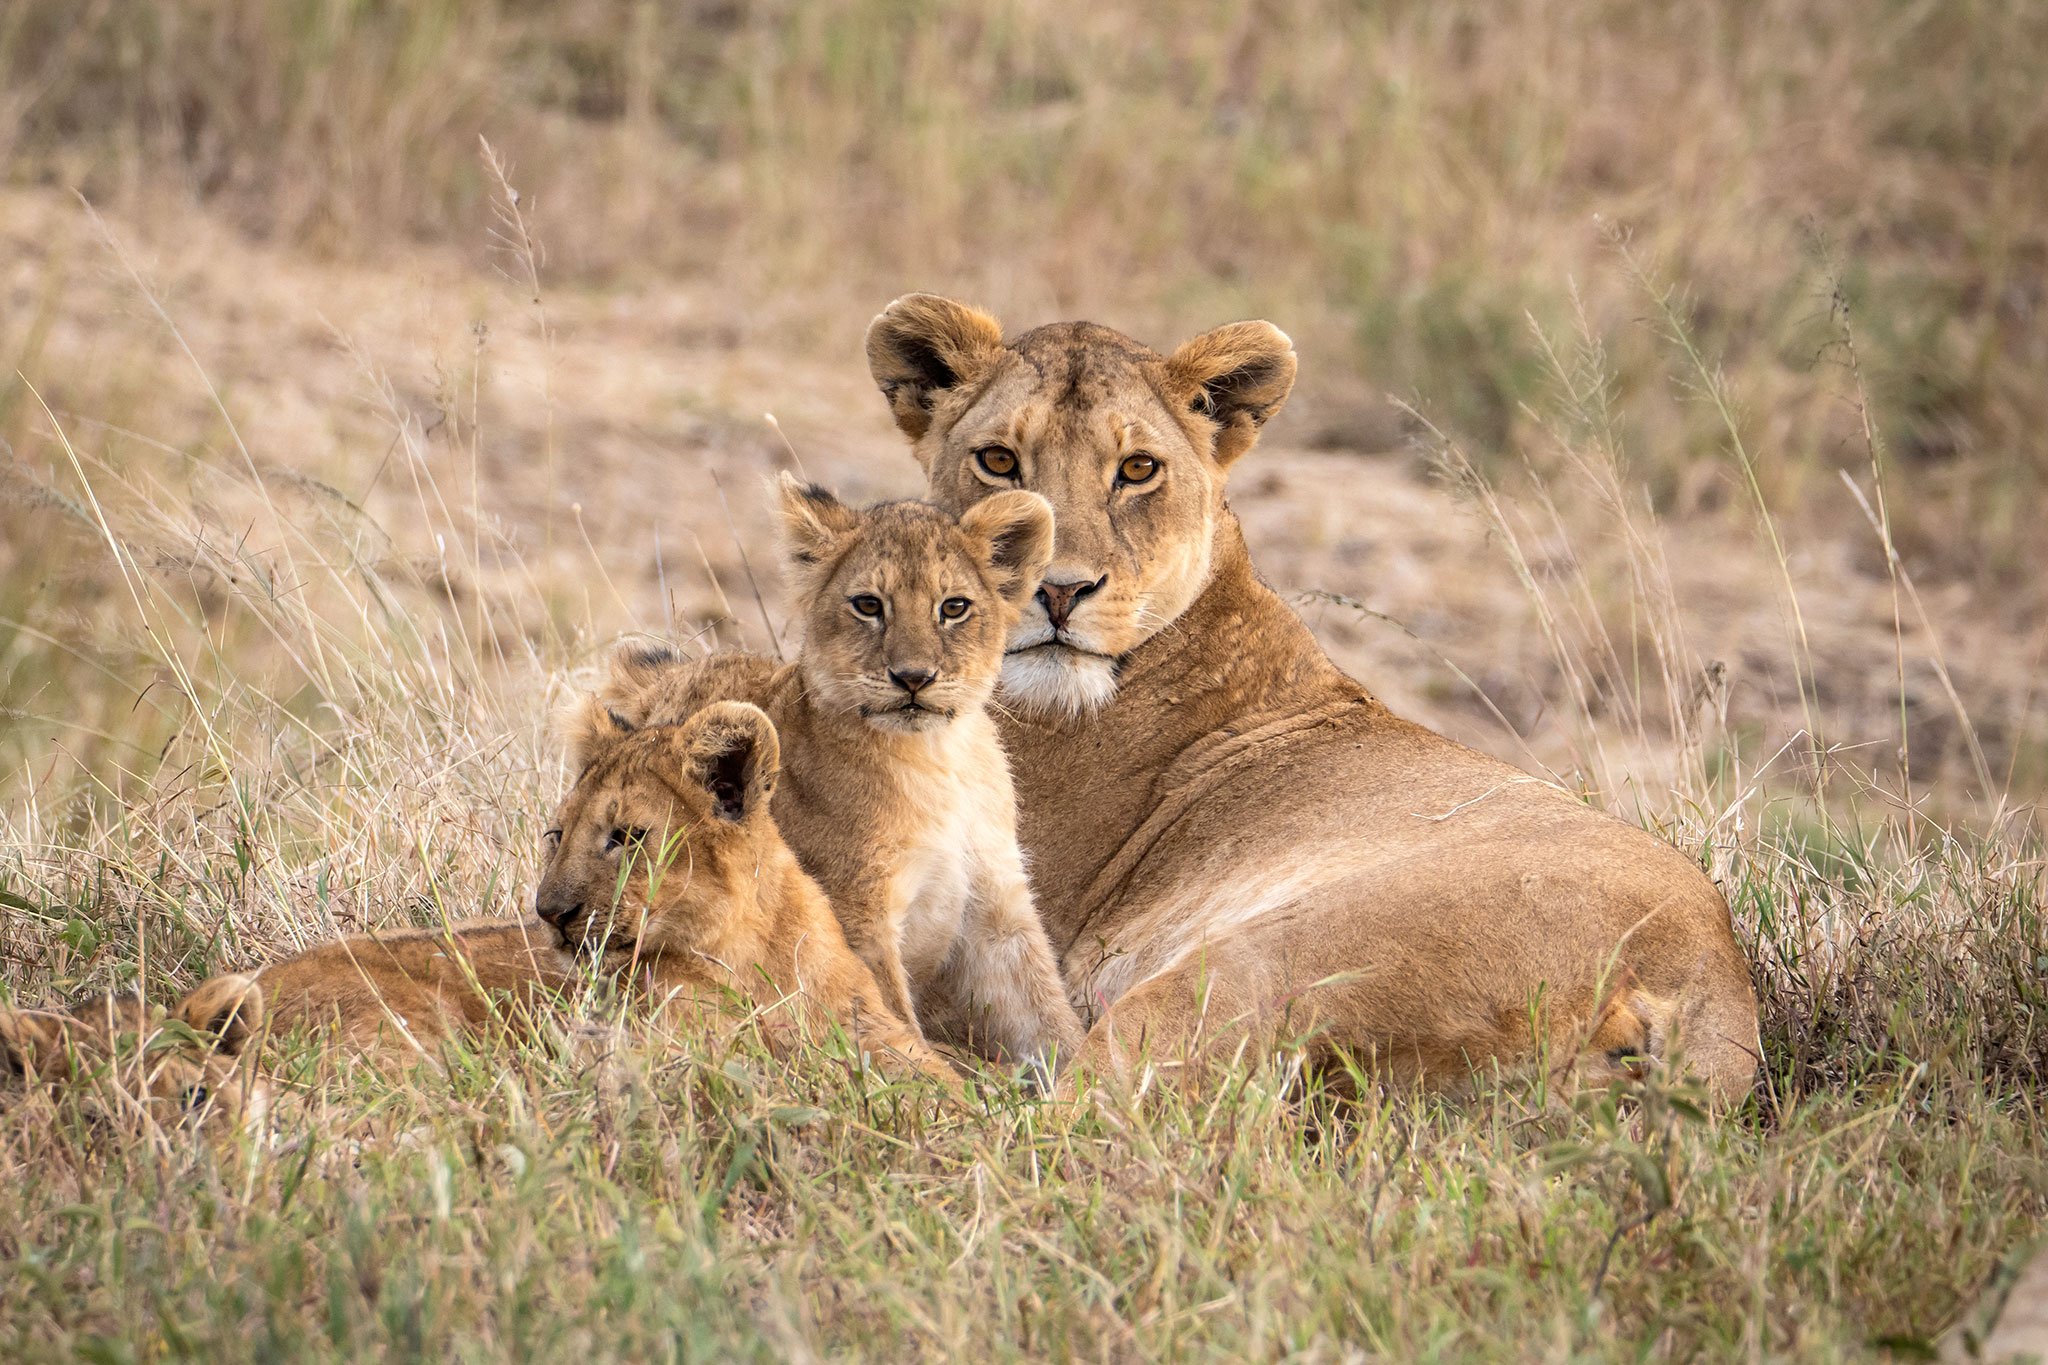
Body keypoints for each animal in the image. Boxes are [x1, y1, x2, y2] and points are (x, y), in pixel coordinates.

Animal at [599, 478, 1084, 1084]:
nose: (913, 678)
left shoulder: (997, 906)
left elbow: (1048, 1014)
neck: (938, 761)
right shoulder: (857, 912)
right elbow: (887, 1012)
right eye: (868, 605)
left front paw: (1097, 1093)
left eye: (954, 607)